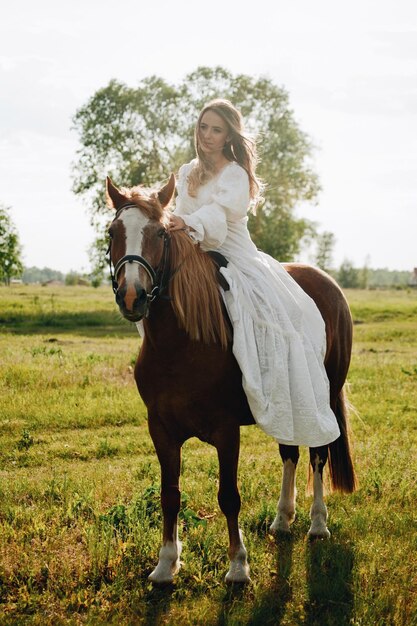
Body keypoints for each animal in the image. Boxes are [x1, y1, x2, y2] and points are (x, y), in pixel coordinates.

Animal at [106, 173, 354, 584]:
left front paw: (238, 566)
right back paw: (282, 519)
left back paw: (318, 524)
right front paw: (166, 564)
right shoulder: (161, 429)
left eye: (160, 233)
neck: (181, 344)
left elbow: (228, 496)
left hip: (325, 397)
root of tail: (327, 283)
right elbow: (169, 494)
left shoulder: (226, 430)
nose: (132, 296)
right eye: (113, 232)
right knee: (290, 452)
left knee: (318, 454)